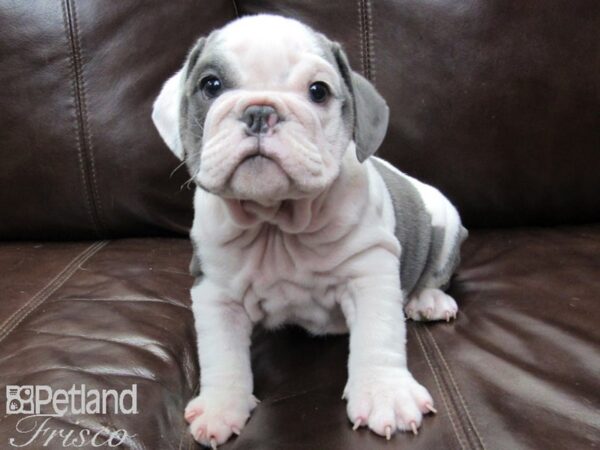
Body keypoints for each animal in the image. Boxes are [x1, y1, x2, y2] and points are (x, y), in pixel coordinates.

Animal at [152, 14, 466, 450]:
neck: (277, 221)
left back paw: (429, 300)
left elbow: (379, 335)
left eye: (318, 91)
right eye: (210, 85)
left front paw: (385, 394)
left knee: (433, 272)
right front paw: (221, 405)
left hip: (445, 218)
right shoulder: (215, 290)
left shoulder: (369, 272)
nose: (260, 111)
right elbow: (221, 351)